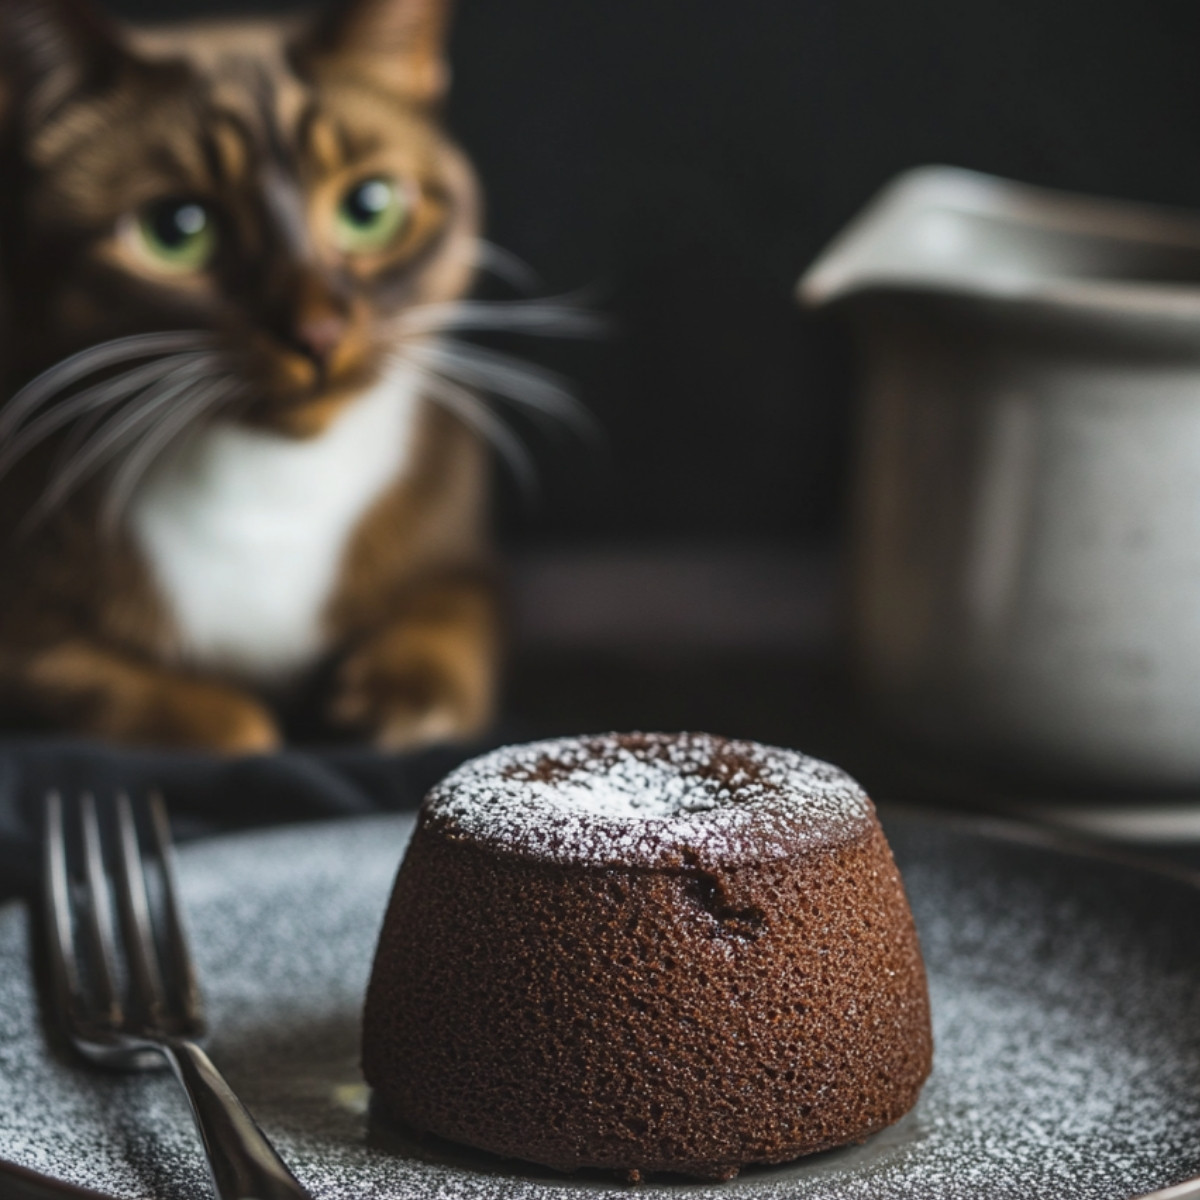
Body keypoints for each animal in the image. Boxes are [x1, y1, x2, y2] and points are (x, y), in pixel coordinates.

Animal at [0, 0, 501, 748]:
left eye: (369, 207)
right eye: (176, 230)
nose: (317, 334)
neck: (271, 493)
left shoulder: (460, 548)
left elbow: (452, 612)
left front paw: (404, 695)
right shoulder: (26, 623)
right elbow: (78, 671)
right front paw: (225, 721)